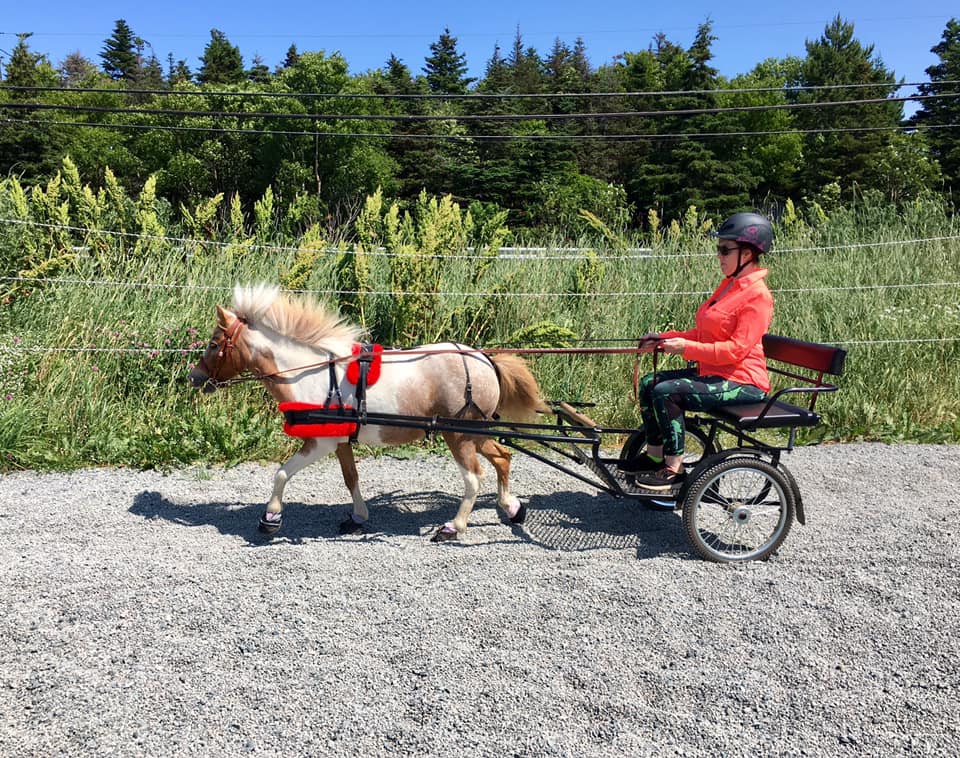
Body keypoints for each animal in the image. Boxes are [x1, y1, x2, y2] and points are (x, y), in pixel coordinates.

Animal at [187, 284, 547, 542]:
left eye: (214, 343)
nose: (194, 377)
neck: (311, 375)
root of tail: (484, 359)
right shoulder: (340, 441)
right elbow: (351, 478)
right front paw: (358, 517)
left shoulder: (319, 442)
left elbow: (281, 473)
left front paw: (270, 518)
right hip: (475, 432)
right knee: (502, 457)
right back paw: (511, 507)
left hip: (457, 435)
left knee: (474, 477)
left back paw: (453, 527)